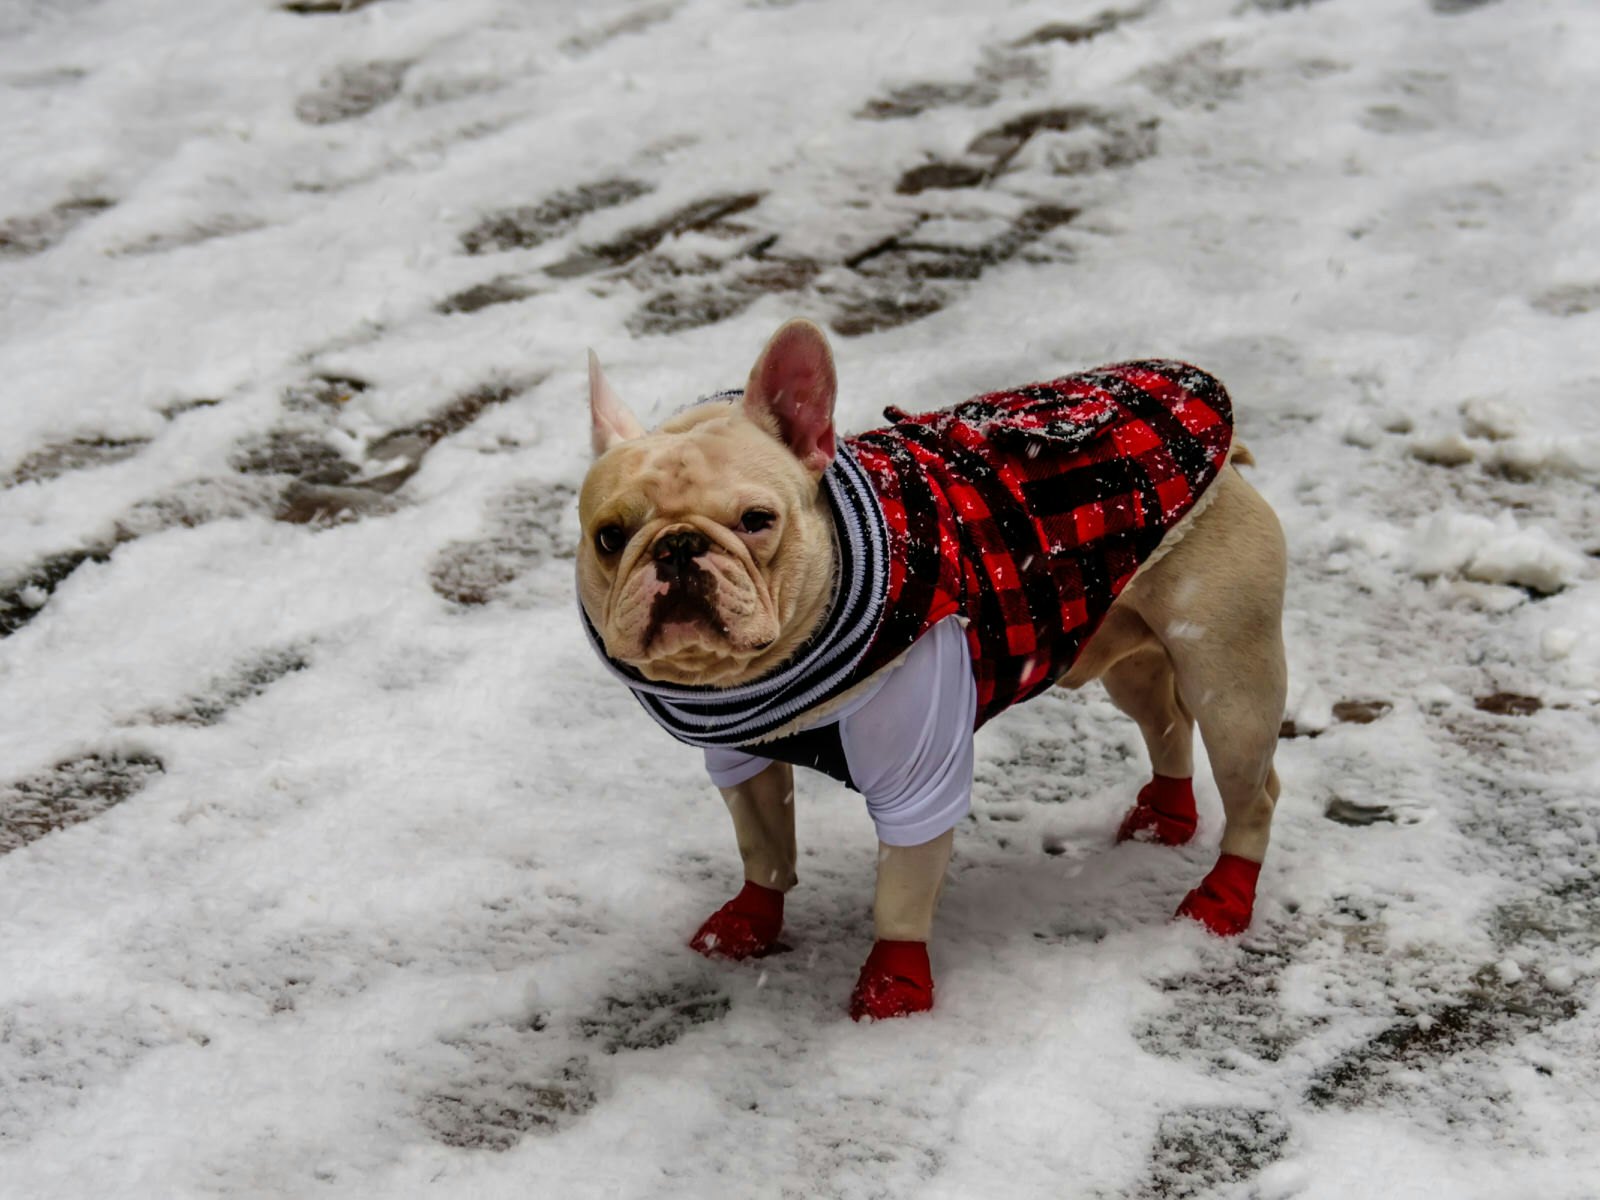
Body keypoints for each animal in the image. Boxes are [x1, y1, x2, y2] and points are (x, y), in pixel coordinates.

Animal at [576, 320, 1286, 1024]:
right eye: (608, 537)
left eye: (757, 521)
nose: (677, 545)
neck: (770, 675)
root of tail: (1228, 455)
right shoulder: (740, 760)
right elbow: (764, 843)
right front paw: (748, 922)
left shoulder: (918, 782)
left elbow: (901, 893)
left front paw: (892, 992)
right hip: (1126, 646)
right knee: (1164, 721)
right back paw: (1164, 818)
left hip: (1229, 682)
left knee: (1252, 790)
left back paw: (1221, 901)